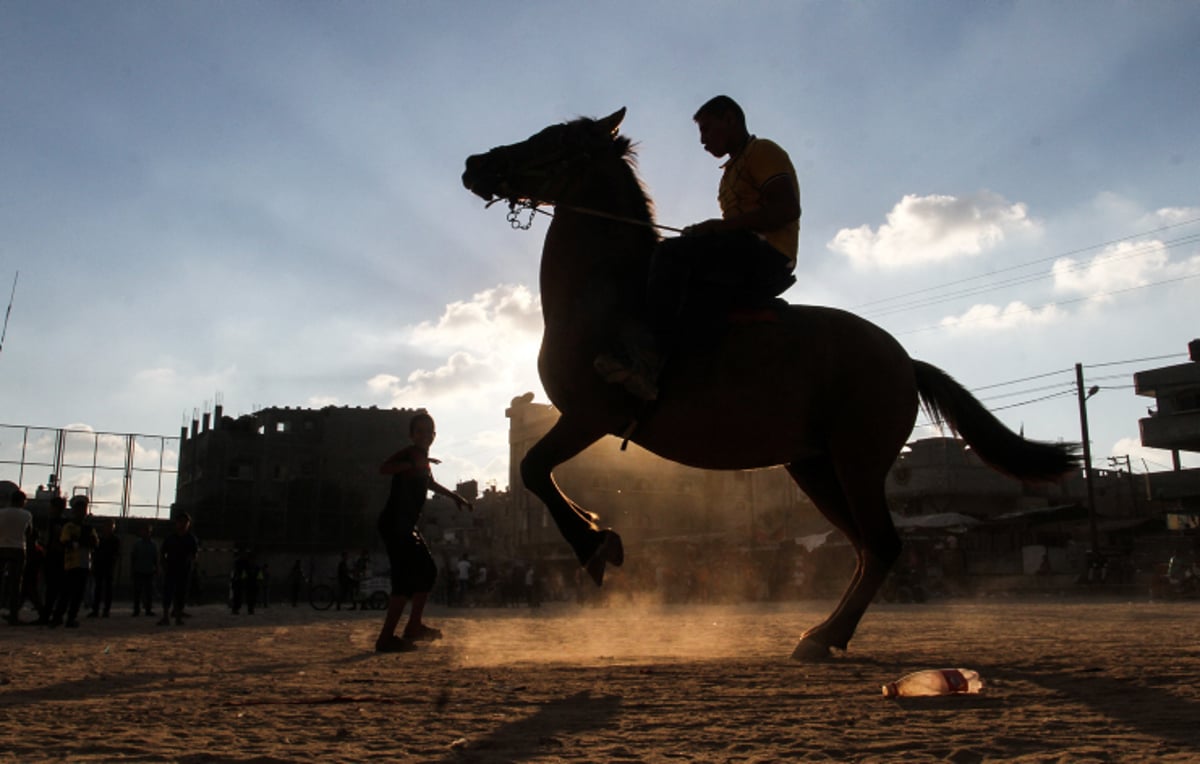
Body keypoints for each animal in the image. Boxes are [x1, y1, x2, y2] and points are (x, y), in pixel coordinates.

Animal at [458, 108, 1080, 662]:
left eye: (553, 140)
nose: (475, 163)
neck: (608, 299)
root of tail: (905, 361)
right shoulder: (585, 420)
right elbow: (536, 472)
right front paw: (597, 535)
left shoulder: (592, 415)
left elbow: (534, 469)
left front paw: (595, 544)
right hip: (816, 467)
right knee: (865, 548)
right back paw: (823, 633)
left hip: (855, 462)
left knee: (882, 543)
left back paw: (824, 638)